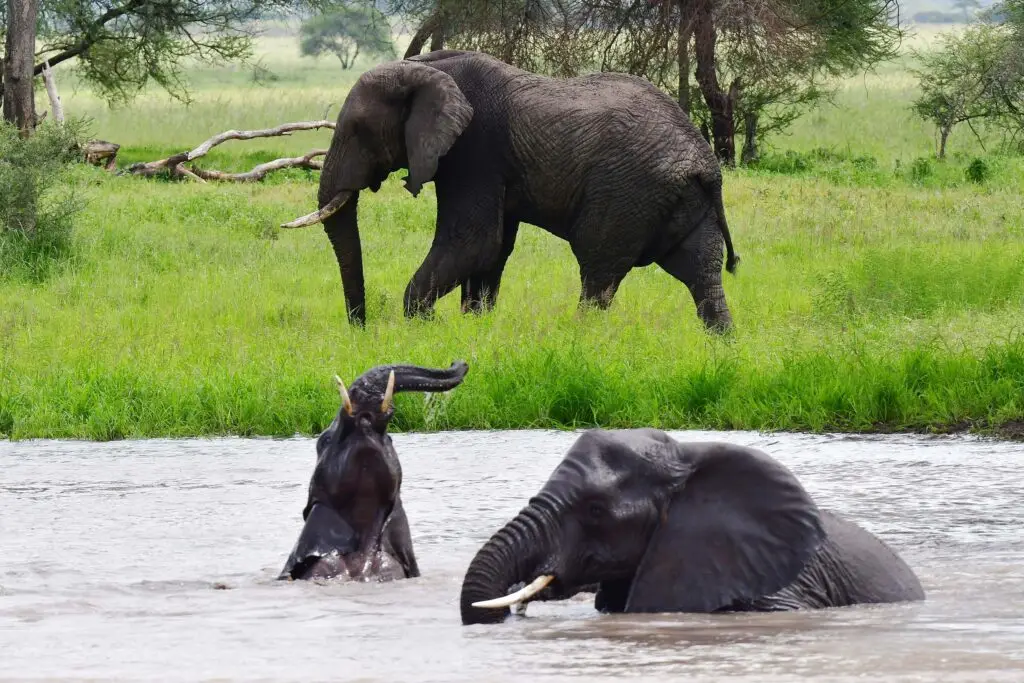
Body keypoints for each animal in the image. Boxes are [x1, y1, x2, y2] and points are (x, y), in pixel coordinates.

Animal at [284, 49, 741, 331]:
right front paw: (474, 328)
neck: (421, 67)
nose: (360, 327)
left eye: (357, 131)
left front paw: (423, 327)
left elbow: (474, 242)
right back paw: (723, 348)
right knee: (701, 274)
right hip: (684, 200)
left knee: (598, 271)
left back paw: (582, 341)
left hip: (628, 191)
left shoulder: (473, 149)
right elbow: (494, 247)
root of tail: (706, 163)